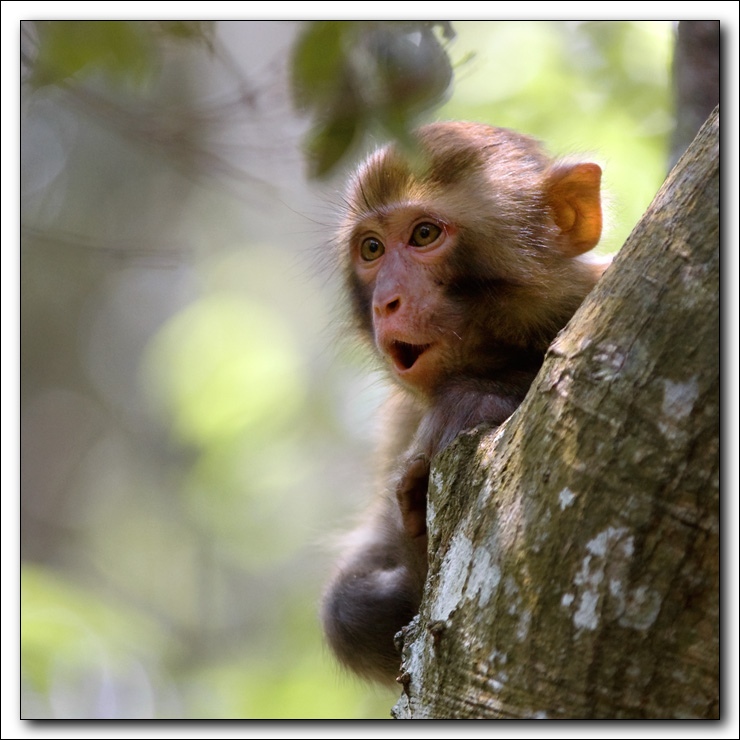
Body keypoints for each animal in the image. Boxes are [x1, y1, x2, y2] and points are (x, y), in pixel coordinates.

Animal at [320, 120, 608, 684]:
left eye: (424, 235)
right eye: (372, 248)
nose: (386, 302)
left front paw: (476, 399)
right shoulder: (404, 415)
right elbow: (347, 607)